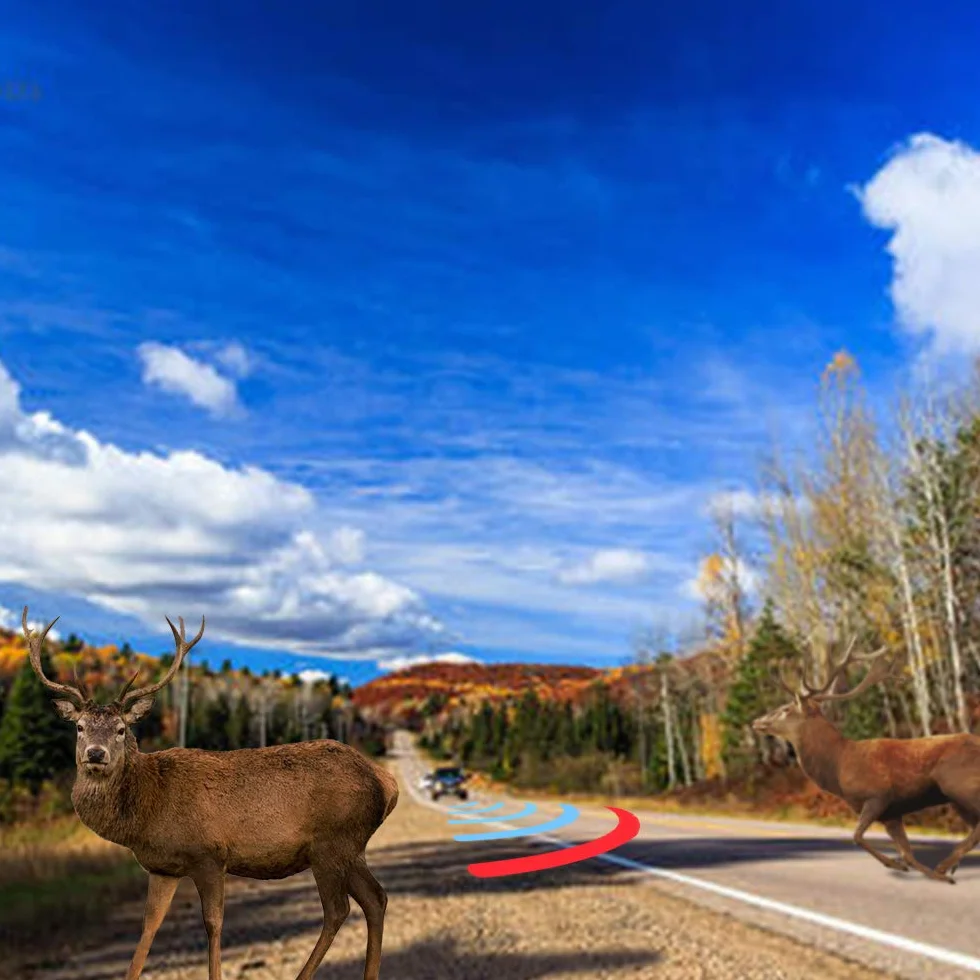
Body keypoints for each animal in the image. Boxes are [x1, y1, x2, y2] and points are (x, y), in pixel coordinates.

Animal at [21, 606, 399, 980]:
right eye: (80, 727)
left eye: (120, 729)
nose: (96, 754)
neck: (149, 806)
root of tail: (386, 782)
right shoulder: (163, 868)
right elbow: (149, 928)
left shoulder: (210, 854)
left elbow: (213, 924)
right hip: (351, 848)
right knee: (376, 898)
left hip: (331, 843)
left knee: (338, 909)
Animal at [752, 638, 980, 884]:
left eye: (786, 709)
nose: (757, 722)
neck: (839, 764)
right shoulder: (892, 813)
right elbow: (906, 853)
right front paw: (933, 874)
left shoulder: (878, 796)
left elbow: (857, 836)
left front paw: (901, 866)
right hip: (958, 799)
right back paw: (948, 866)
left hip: (960, 785)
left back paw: (946, 864)